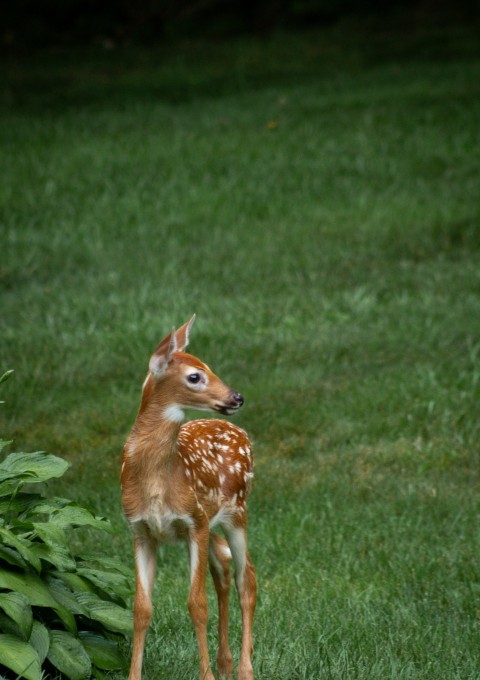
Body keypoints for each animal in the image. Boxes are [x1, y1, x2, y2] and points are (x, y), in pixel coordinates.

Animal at [121, 318, 255, 680]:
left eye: (209, 366)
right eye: (195, 376)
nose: (237, 397)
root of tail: (242, 434)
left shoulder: (194, 521)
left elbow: (197, 604)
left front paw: (205, 675)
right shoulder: (141, 530)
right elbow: (140, 608)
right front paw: (134, 675)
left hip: (237, 510)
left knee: (246, 580)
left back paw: (244, 670)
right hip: (212, 522)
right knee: (223, 564)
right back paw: (225, 664)